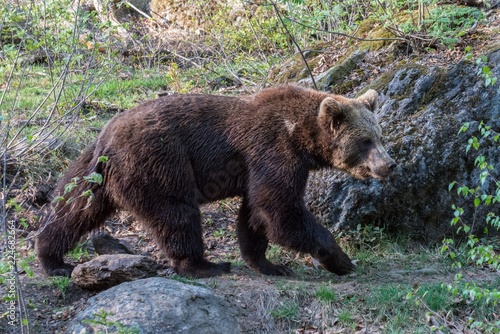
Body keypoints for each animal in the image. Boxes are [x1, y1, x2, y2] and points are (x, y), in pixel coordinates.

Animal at [35, 85, 396, 278]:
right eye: (365, 141)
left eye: (380, 136)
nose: (389, 164)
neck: (302, 138)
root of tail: (107, 138)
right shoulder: (273, 150)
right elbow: (279, 210)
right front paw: (341, 259)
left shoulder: (259, 167)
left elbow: (255, 214)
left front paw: (268, 263)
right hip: (160, 162)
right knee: (177, 214)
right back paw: (204, 264)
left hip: (93, 169)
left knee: (76, 208)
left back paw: (52, 258)